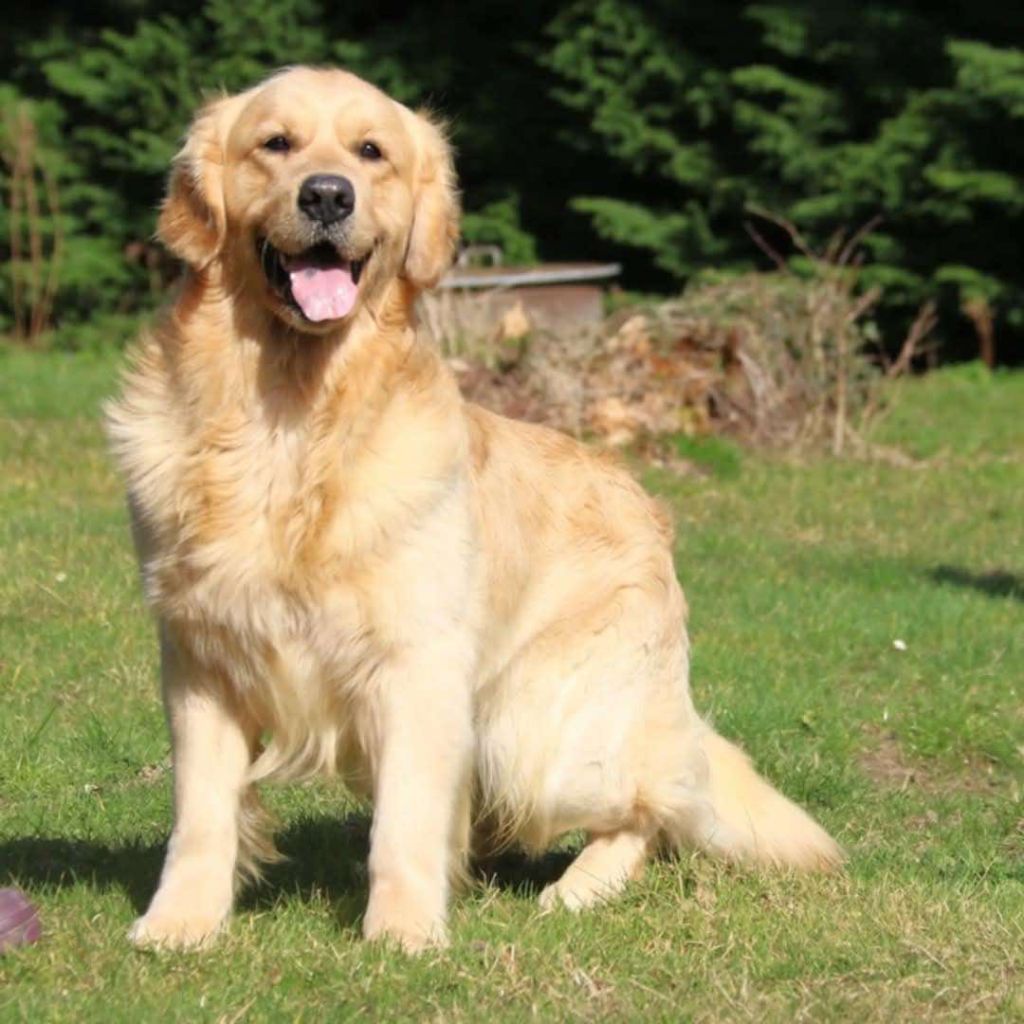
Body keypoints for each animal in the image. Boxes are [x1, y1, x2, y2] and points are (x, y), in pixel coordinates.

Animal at [106, 67, 841, 953]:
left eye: (371, 151)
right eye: (275, 143)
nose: (327, 195)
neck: (292, 416)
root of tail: (644, 501)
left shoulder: (416, 663)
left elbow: (404, 822)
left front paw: (404, 934)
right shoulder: (201, 658)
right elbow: (202, 813)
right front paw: (180, 922)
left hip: (533, 726)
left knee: (654, 804)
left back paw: (578, 888)